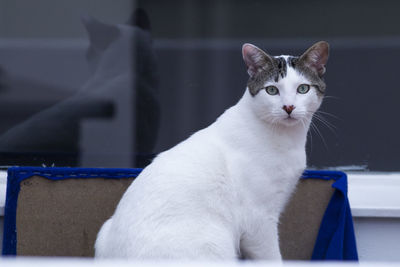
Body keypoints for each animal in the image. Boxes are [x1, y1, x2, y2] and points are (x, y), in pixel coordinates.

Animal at [95, 40, 330, 260]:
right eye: (272, 90)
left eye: (302, 88)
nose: (288, 107)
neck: (287, 139)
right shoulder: (259, 220)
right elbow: (272, 258)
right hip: (215, 241)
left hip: (104, 230)